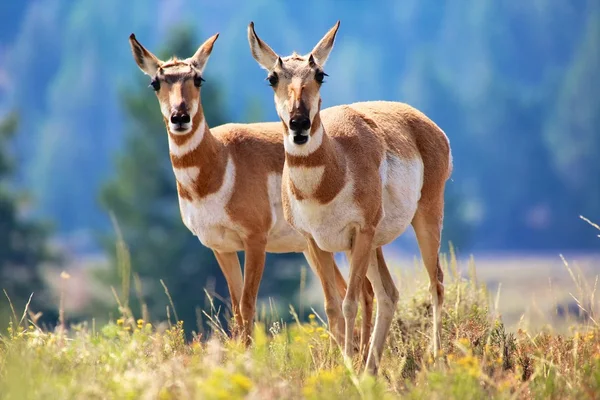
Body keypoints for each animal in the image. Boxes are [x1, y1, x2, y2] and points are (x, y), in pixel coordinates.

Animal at [127, 32, 372, 348]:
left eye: (198, 79)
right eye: (155, 83)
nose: (180, 117)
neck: (221, 161)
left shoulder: (255, 240)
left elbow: (247, 304)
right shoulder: (221, 247)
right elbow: (234, 307)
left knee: (366, 292)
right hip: (315, 246)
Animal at [247, 20, 450, 374]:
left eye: (320, 74)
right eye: (272, 77)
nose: (299, 124)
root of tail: (423, 121)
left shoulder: (360, 233)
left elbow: (349, 303)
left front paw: (347, 371)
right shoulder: (314, 243)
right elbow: (331, 306)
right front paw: (344, 367)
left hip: (424, 219)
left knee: (434, 283)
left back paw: (434, 360)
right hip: (372, 246)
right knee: (389, 293)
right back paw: (370, 368)